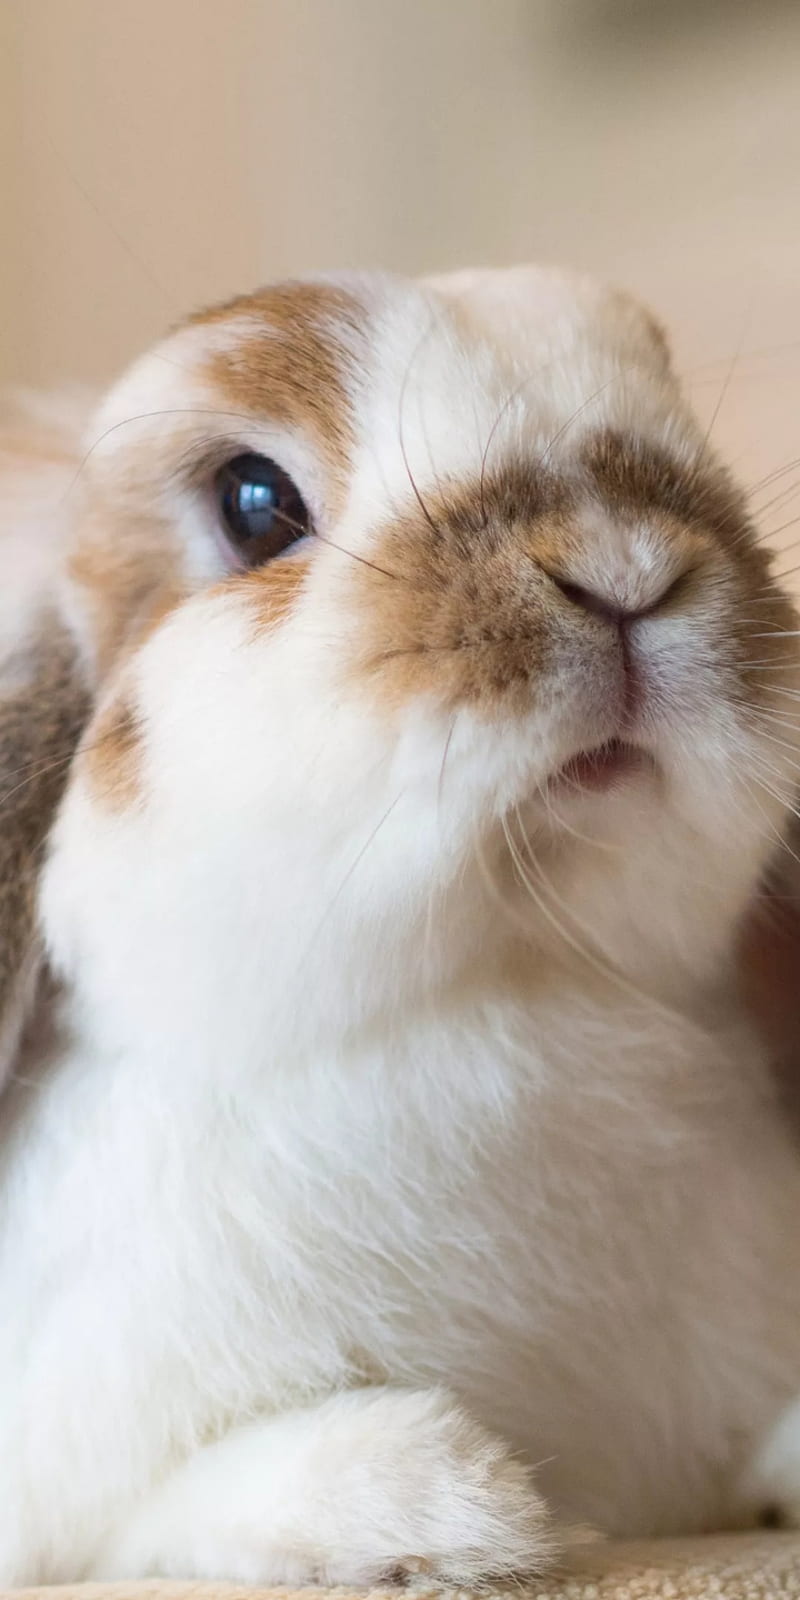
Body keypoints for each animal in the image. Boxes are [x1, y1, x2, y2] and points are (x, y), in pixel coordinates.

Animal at [2, 264, 800, 1587]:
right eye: (254, 501)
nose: (624, 566)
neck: (513, 977)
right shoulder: (71, 1485)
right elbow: (173, 1506)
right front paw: (446, 1500)